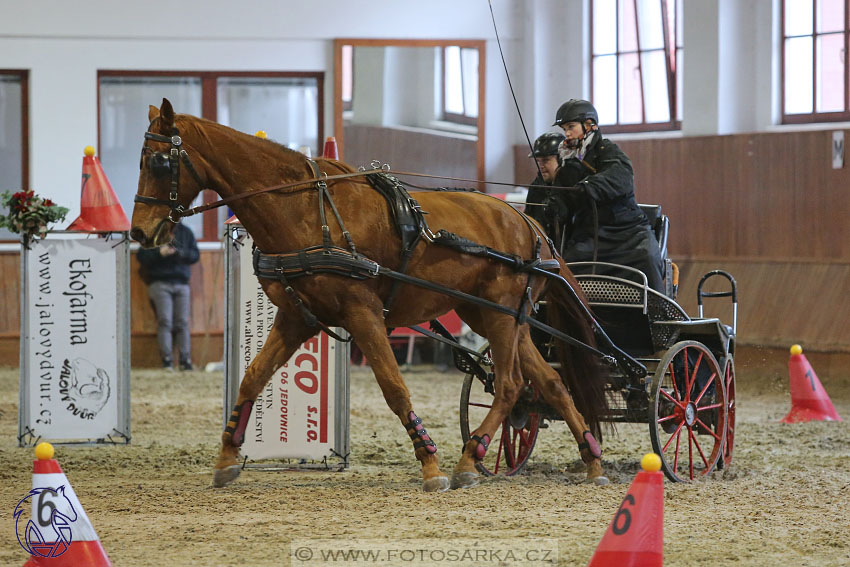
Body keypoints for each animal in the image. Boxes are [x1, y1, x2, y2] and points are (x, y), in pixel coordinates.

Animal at [131, 100, 608, 490]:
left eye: (159, 161)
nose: (139, 232)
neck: (306, 211)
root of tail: (529, 223)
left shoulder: (363, 313)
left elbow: (394, 387)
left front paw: (430, 464)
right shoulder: (295, 317)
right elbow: (252, 378)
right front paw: (227, 457)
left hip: (501, 314)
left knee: (510, 384)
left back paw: (469, 460)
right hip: (496, 316)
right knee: (550, 383)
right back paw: (591, 460)